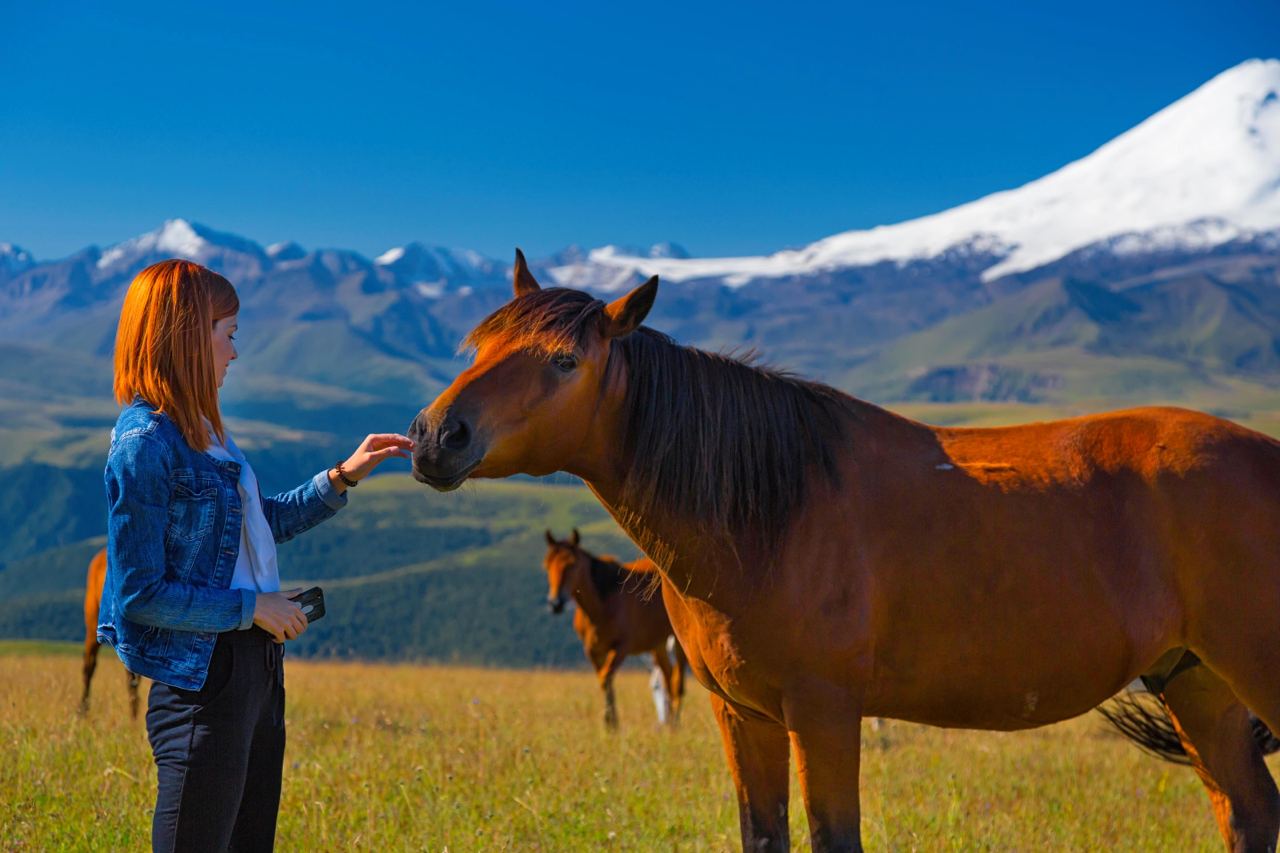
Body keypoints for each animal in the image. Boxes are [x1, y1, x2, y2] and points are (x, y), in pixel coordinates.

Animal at [540, 525, 686, 722]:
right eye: (547, 564)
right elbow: (604, 681)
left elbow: (606, 677)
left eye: (572, 564)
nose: (555, 603)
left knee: (677, 684)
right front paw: (610, 723)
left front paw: (610, 720)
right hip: (658, 644)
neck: (601, 605)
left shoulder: (621, 647)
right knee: (668, 679)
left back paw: (674, 723)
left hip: (677, 641)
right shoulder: (593, 651)